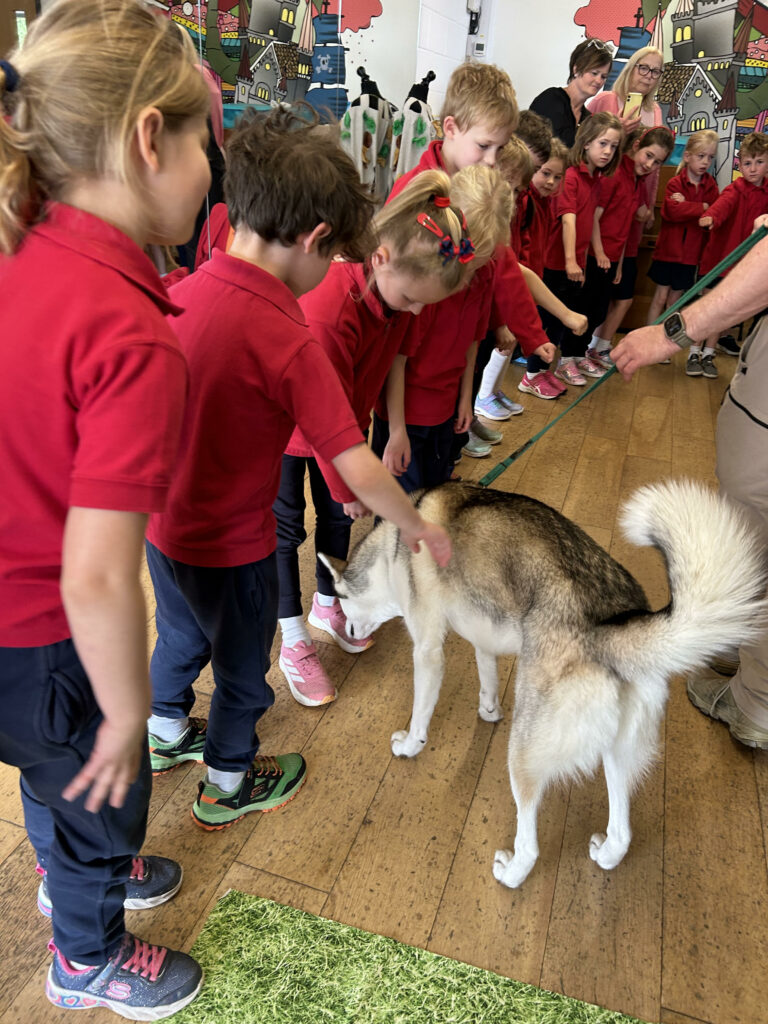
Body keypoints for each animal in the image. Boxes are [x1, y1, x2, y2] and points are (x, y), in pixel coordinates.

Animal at [319, 479, 768, 888]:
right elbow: (486, 672)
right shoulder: (482, 634)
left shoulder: (427, 649)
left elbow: (420, 713)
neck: (393, 545)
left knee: (530, 840)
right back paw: (607, 853)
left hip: (523, 753)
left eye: (339, 602)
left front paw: (411, 745)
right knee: (622, 829)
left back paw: (512, 873)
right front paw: (488, 709)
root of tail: (609, 627)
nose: (348, 631)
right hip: (616, 752)